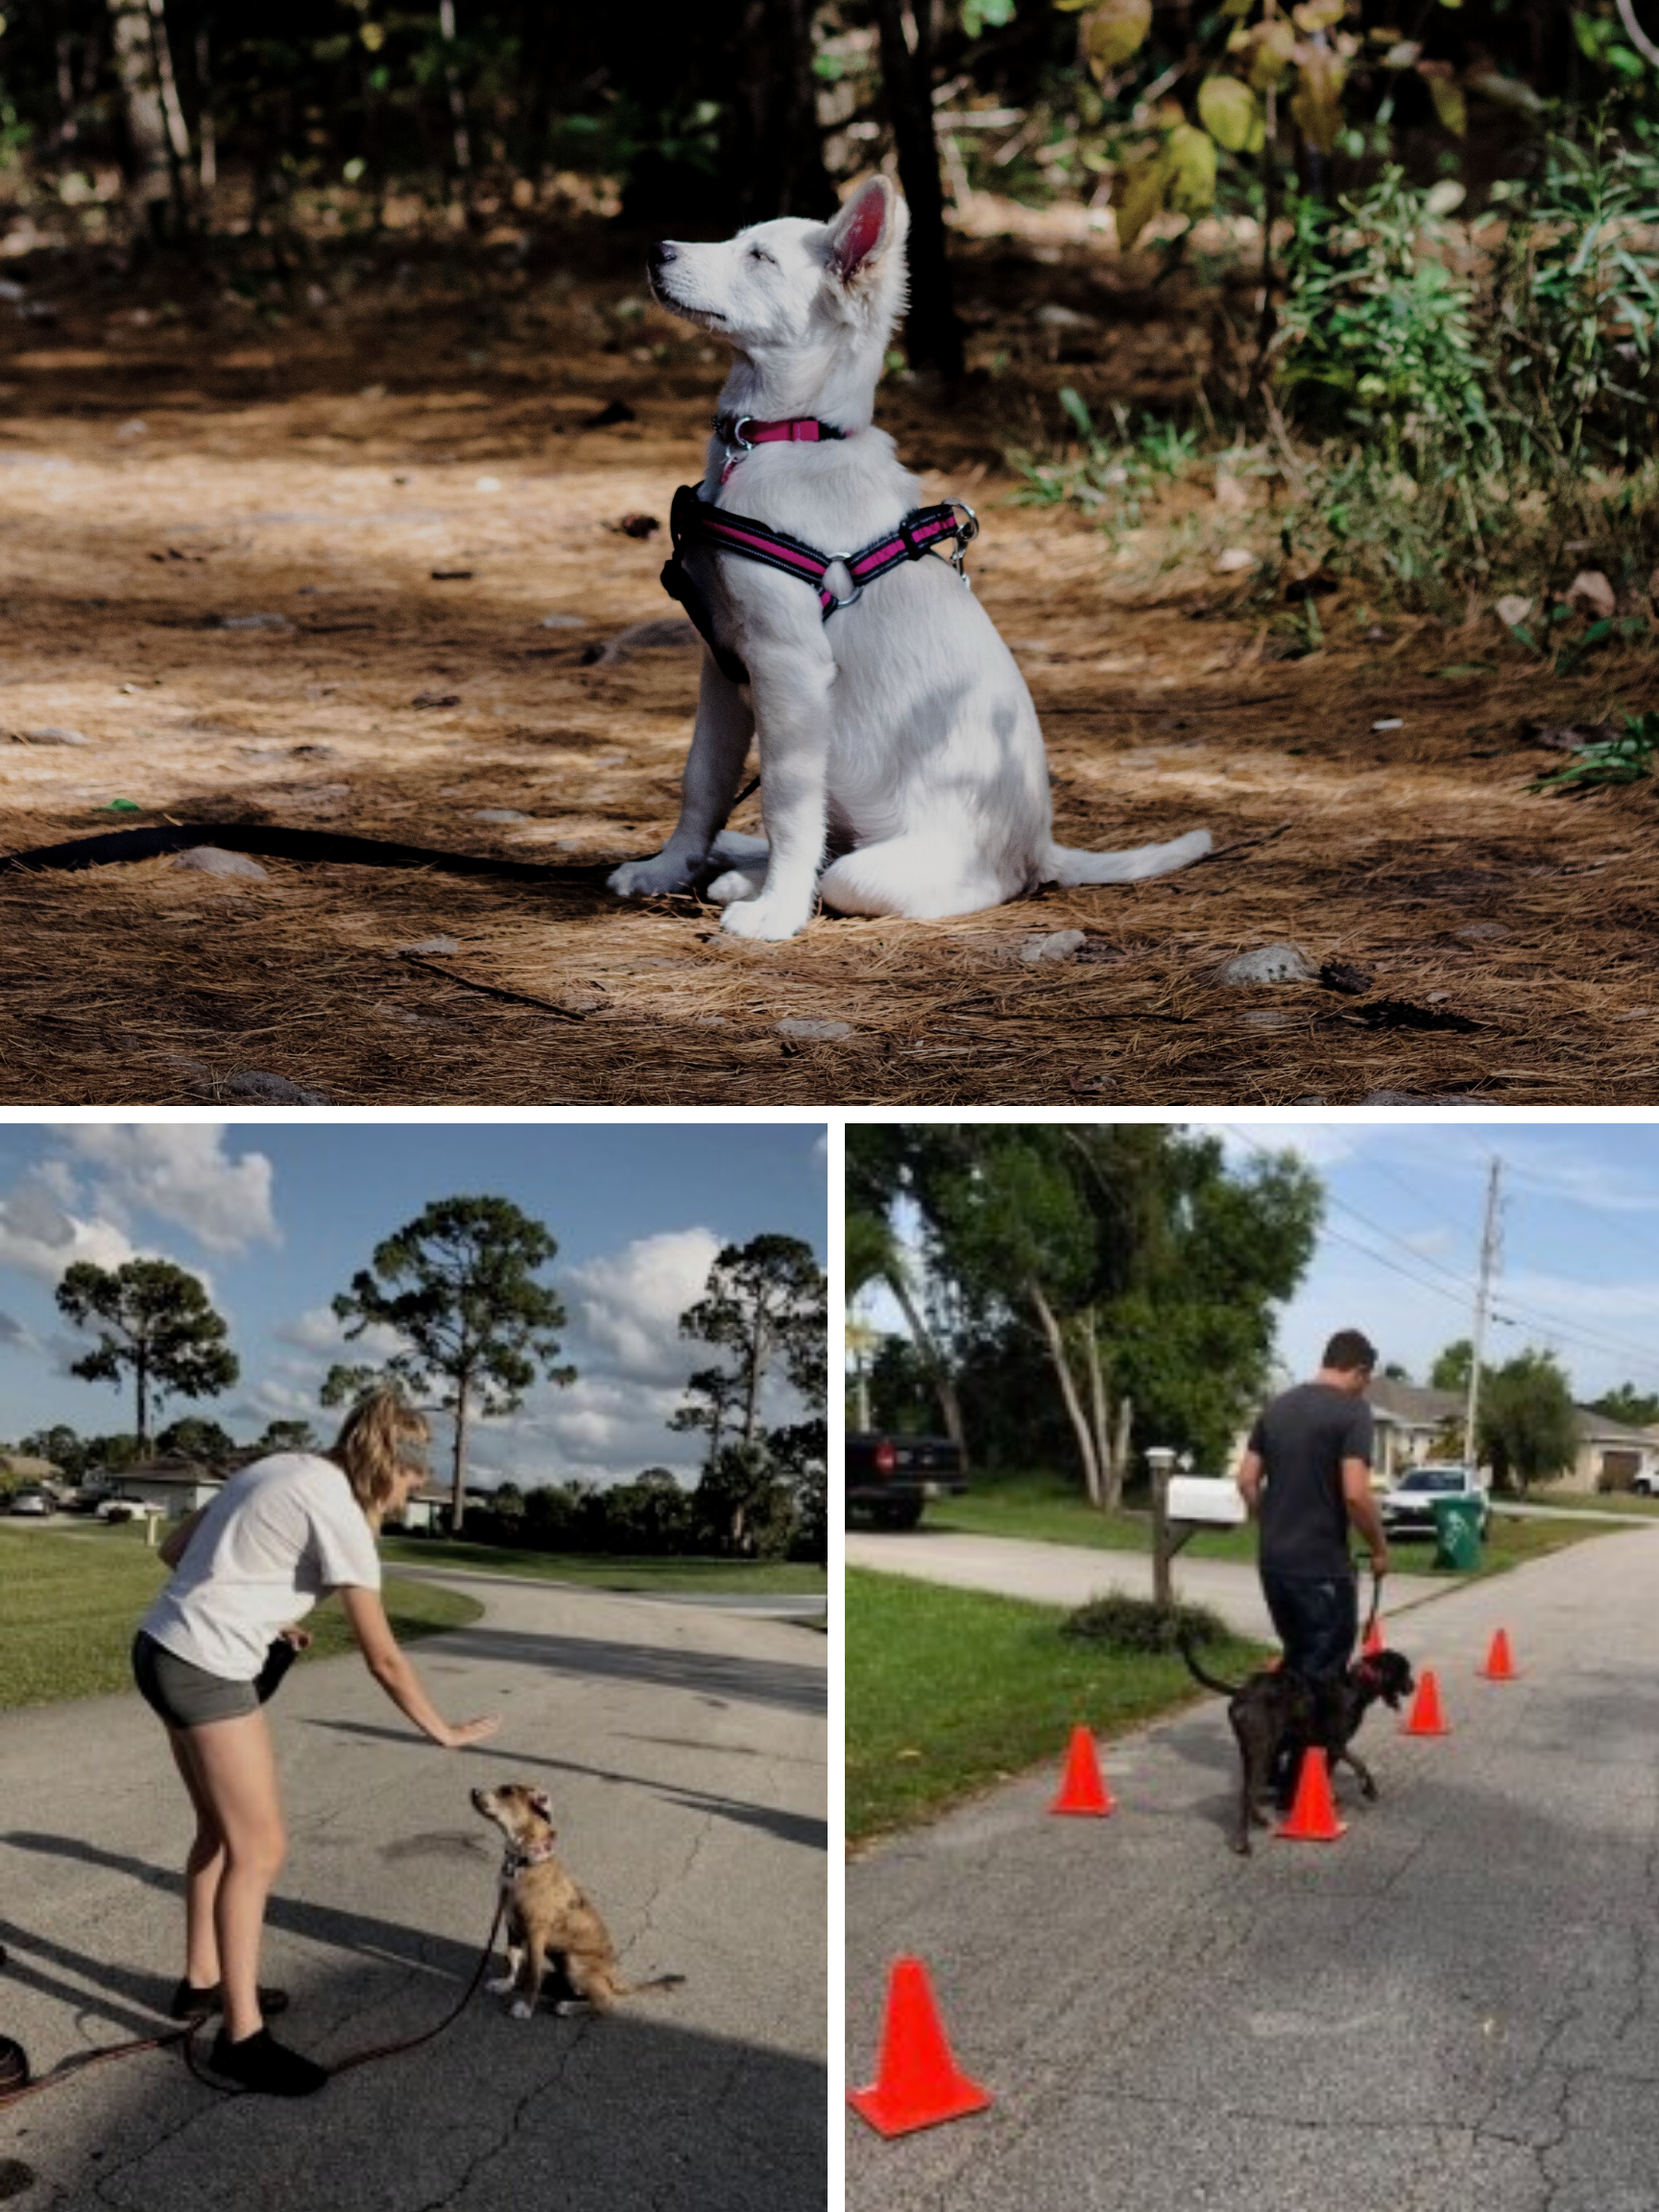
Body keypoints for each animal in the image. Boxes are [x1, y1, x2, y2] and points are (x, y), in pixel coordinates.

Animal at [470, 1778, 685, 2026]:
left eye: (507, 1792)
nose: (473, 1791)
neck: (524, 1862)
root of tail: (614, 1976)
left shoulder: (536, 1933)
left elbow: (533, 1973)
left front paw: (526, 2007)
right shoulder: (512, 1925)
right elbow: (512, 1958)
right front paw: (506, 1984)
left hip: (574, 1962)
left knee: (605, 2001)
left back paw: (568, 2006)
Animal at [610, 170, 1212, 933]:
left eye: (759, 258)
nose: (655, 250)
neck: (785, 439)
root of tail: (1041, 849)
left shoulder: (787, 664)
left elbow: (785, 799)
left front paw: (777, 913)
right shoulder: (722, 659)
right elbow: (703, 781)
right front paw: (668, 869)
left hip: (898, 867)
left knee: (856, 872)